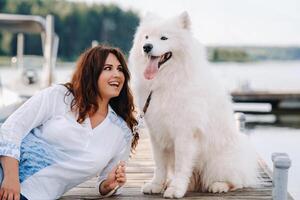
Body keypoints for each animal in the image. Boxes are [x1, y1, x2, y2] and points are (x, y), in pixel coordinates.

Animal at [128, 11, 258, 198]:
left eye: (164, 38)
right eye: (146, 37)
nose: (146, 47)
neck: (167, 81)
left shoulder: (185, 133)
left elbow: (182, 166)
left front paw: (175, 189)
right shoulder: (156, 133)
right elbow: (159, 165)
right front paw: (156, 185)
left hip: (220, 161)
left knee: (236, 181)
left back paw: (219, 185)